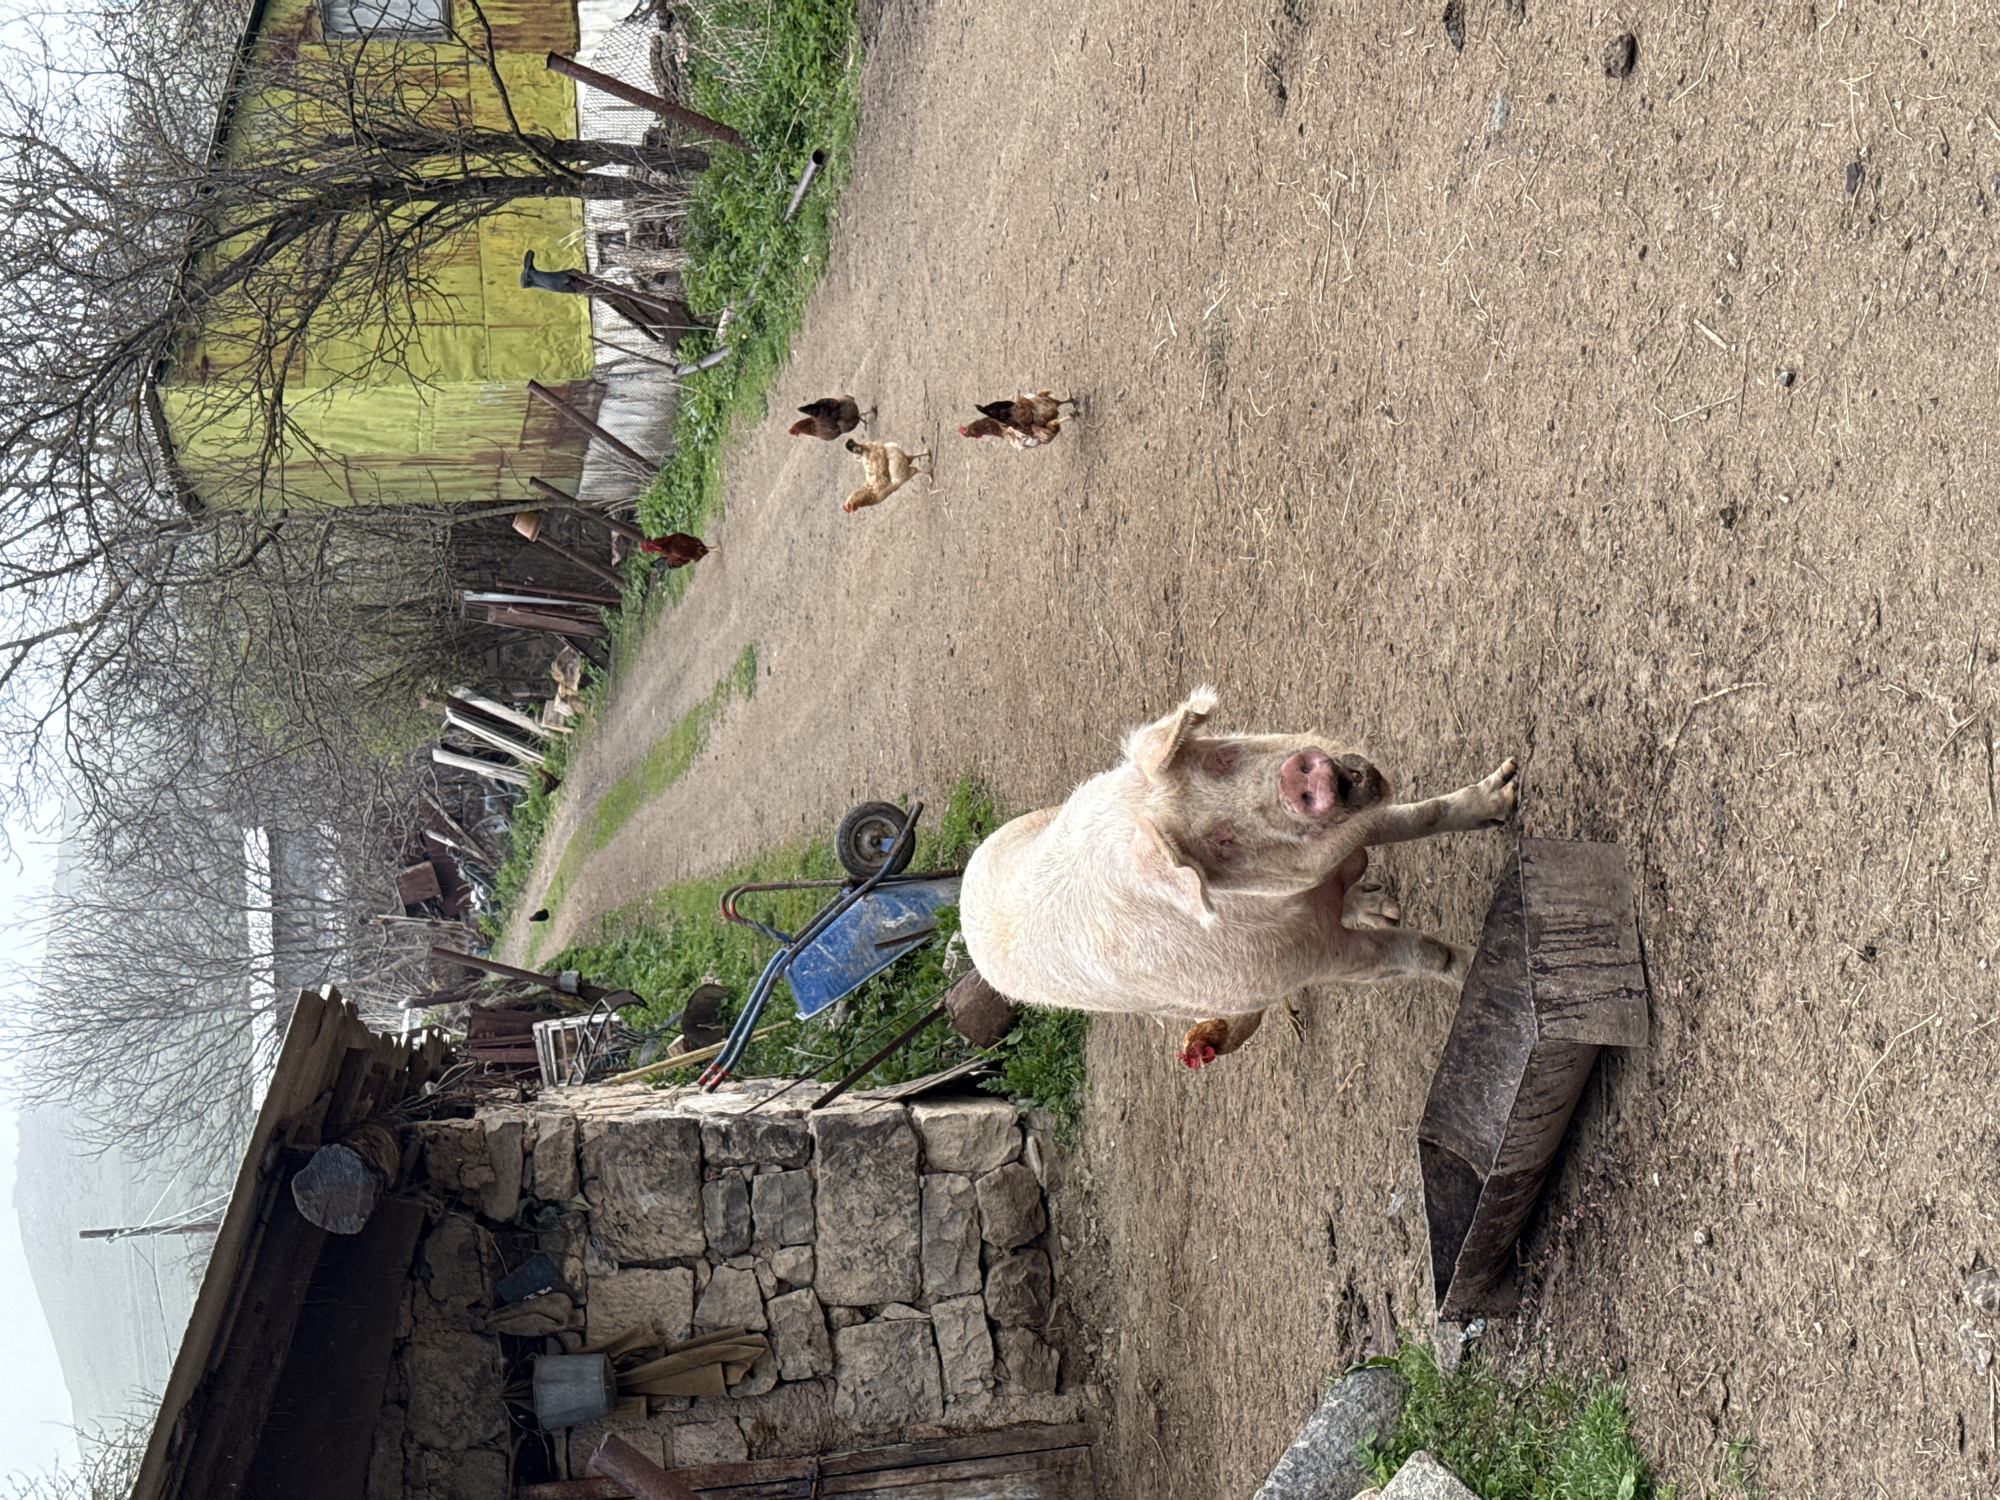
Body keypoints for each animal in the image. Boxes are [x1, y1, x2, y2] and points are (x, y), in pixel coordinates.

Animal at [958, 686, 1519, 1066]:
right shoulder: (1309, 960)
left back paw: (1382, 903)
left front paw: (1507, 792)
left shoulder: (1344, 834)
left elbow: (1421, 816)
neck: (1303, 896)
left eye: (1219, 758)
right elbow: (1424, 954)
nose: (1302, 779)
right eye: (1219, 840)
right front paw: (1480, 969)